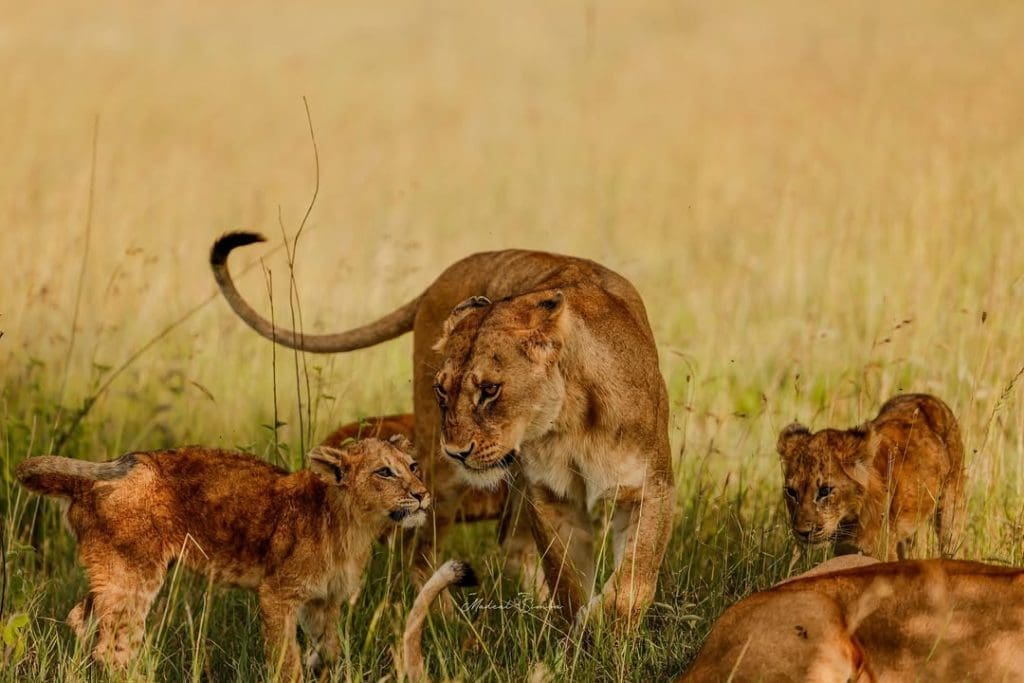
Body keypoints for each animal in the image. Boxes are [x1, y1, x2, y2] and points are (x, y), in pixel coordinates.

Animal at [16, 436, 428, 679]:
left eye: (413, 466)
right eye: (384, 472)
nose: (423, 494)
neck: (354, 526)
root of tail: (90, 479)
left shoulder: (323, 602)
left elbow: (327, 652)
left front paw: (320, 667)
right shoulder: (277, 595)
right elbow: (286, 659)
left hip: (113, 572)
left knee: (81, 618)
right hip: (133, 573)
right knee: (113, 646)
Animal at [211, 234, 675, 624]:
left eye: (490, 390)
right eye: (442, 388)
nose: (457, 450)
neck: (570, 421)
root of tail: (445, 274)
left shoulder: (652, 486)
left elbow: (633, 579)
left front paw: (604, 630)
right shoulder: (550, 499)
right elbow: (567, 580)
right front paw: (581, 633)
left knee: (507, 542)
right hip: (439, 481)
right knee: (419, 554)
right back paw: (446, 619)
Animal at [777, 393, 966, 560]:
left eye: (825, 491)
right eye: (791, 492)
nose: (802, 532)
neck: (847, 521)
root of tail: (928, 397)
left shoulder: (882, 551)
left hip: (950, 510)